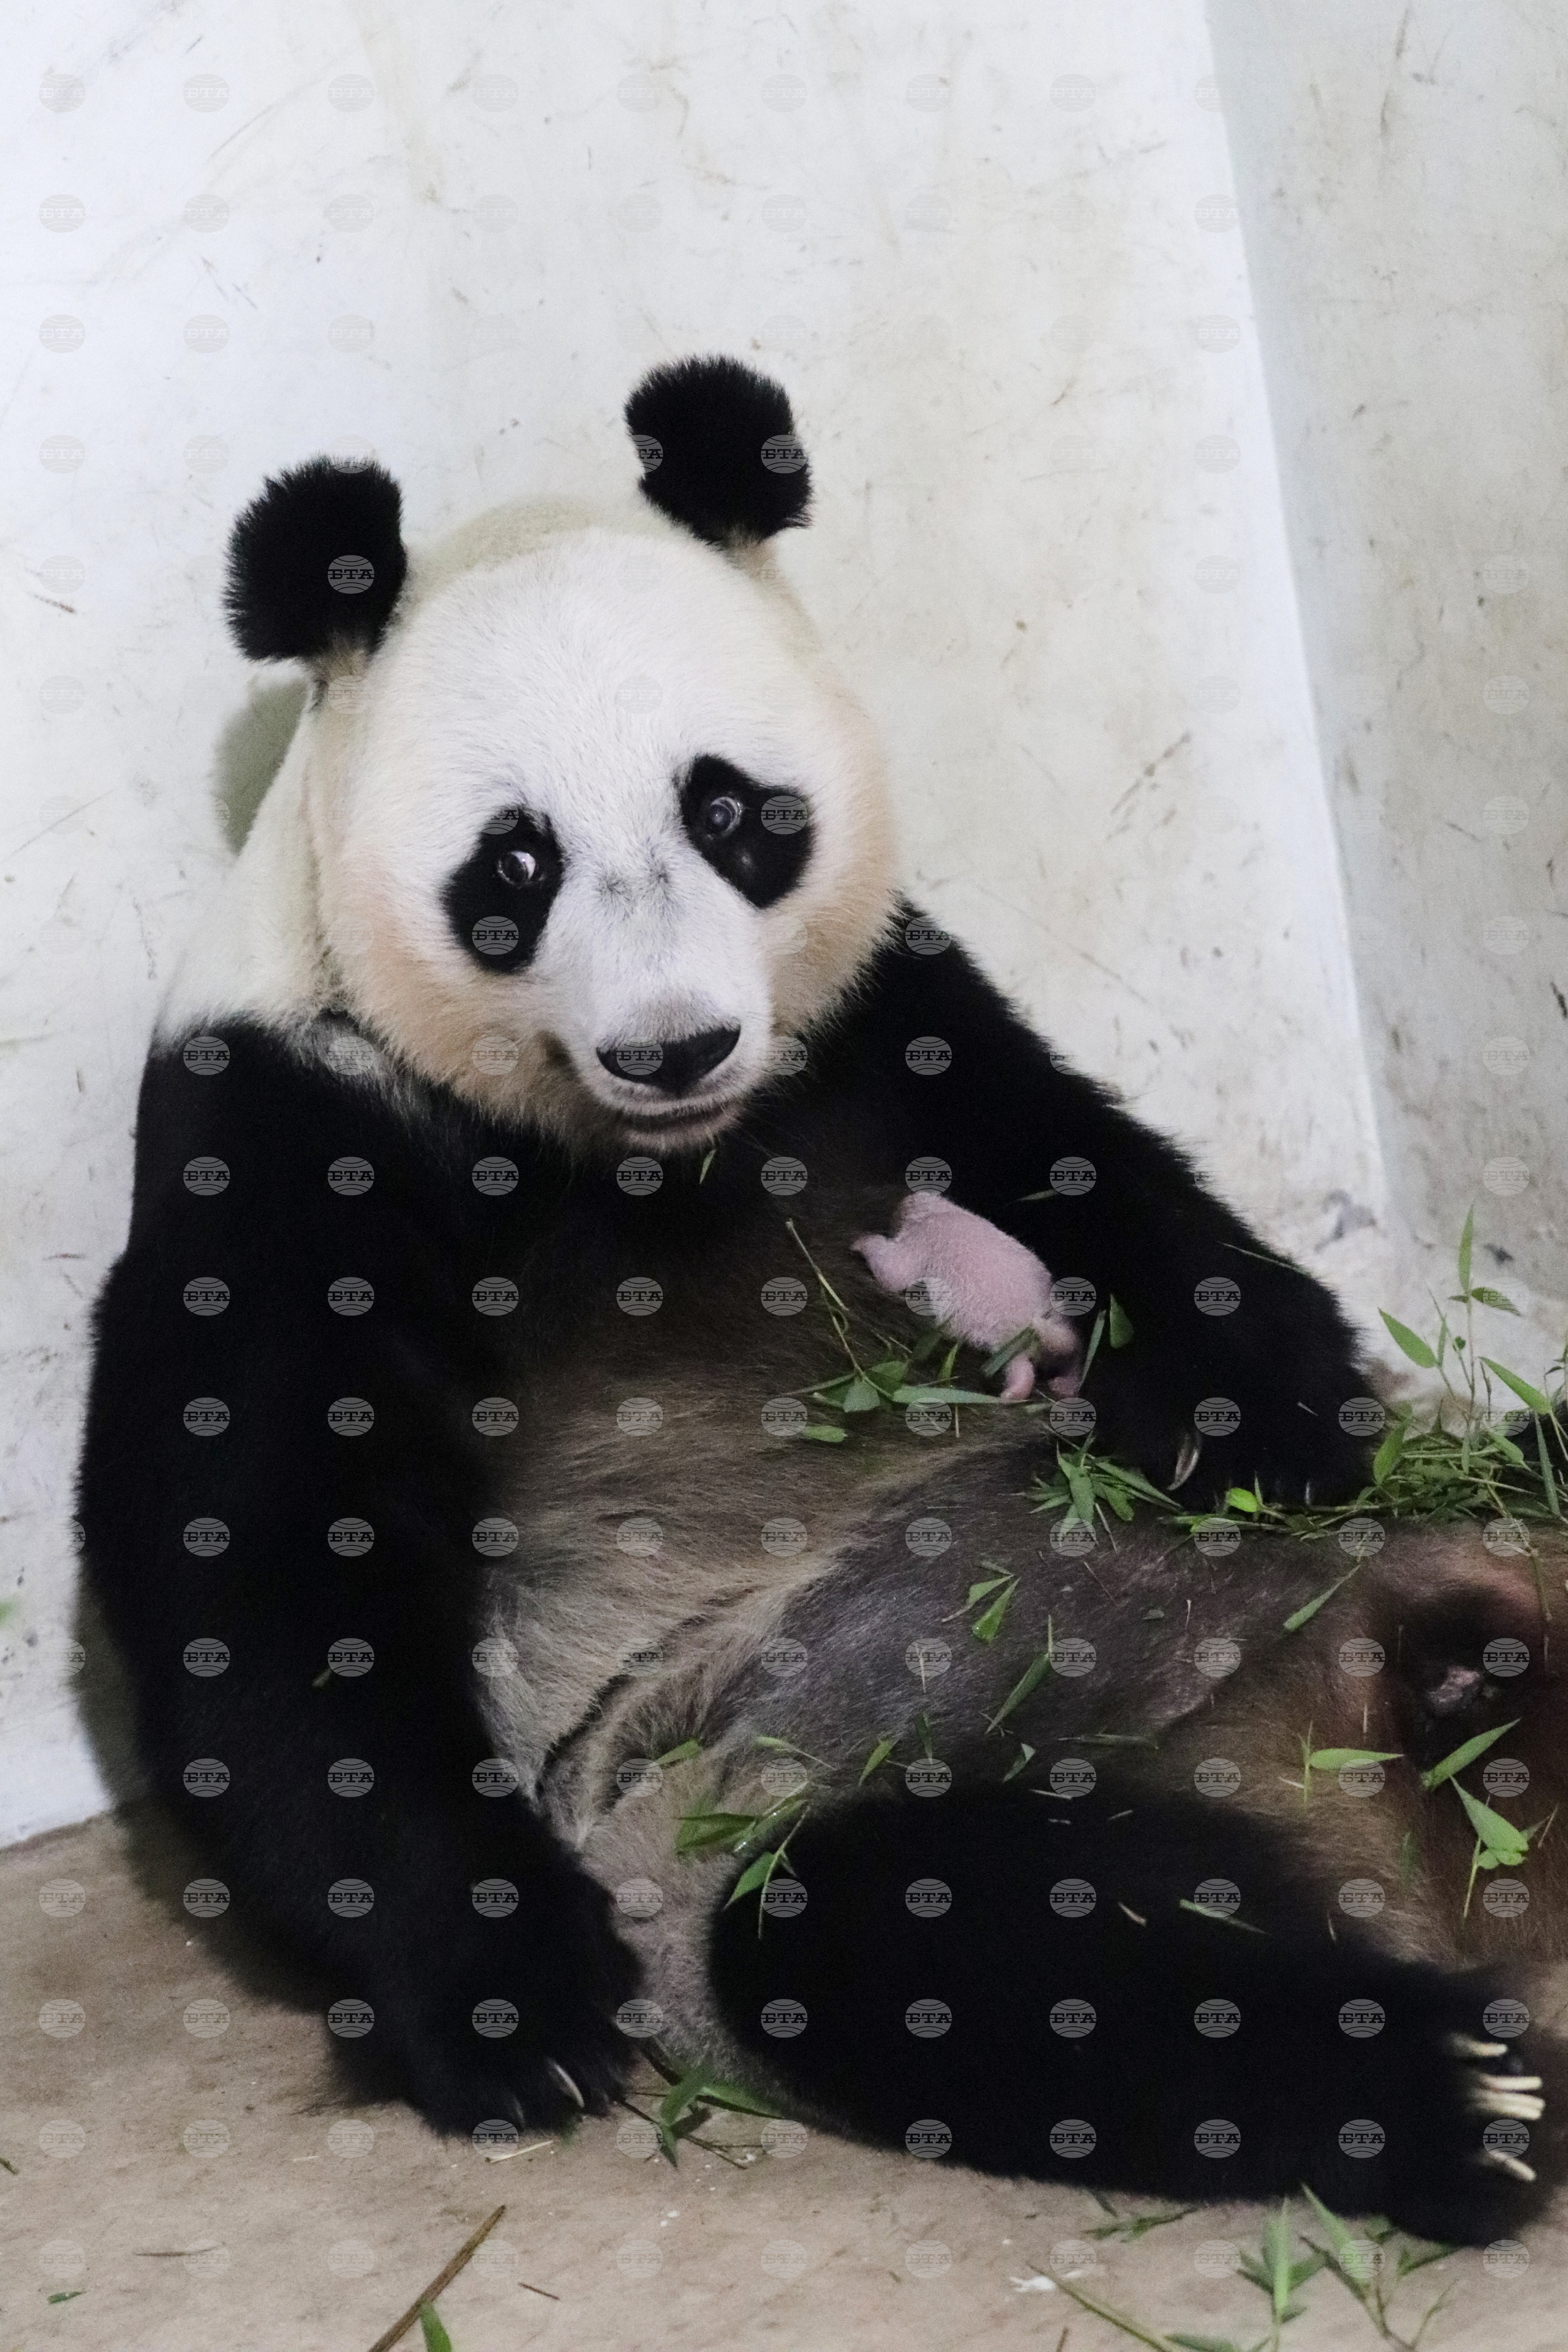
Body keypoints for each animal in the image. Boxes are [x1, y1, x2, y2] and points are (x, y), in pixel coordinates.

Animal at [78, 355, 1564, 2247]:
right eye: (513, 869)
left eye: (729, 813)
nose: (672, 1045)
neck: (643, 1165)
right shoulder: (287, 1122)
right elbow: (265, 1579)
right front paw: (512, 2009)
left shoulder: (880, 1022)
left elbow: (1095, 1172)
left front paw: (1276, 1417)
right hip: (811, 1796)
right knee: (932, 1952)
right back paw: (1449, 2090)